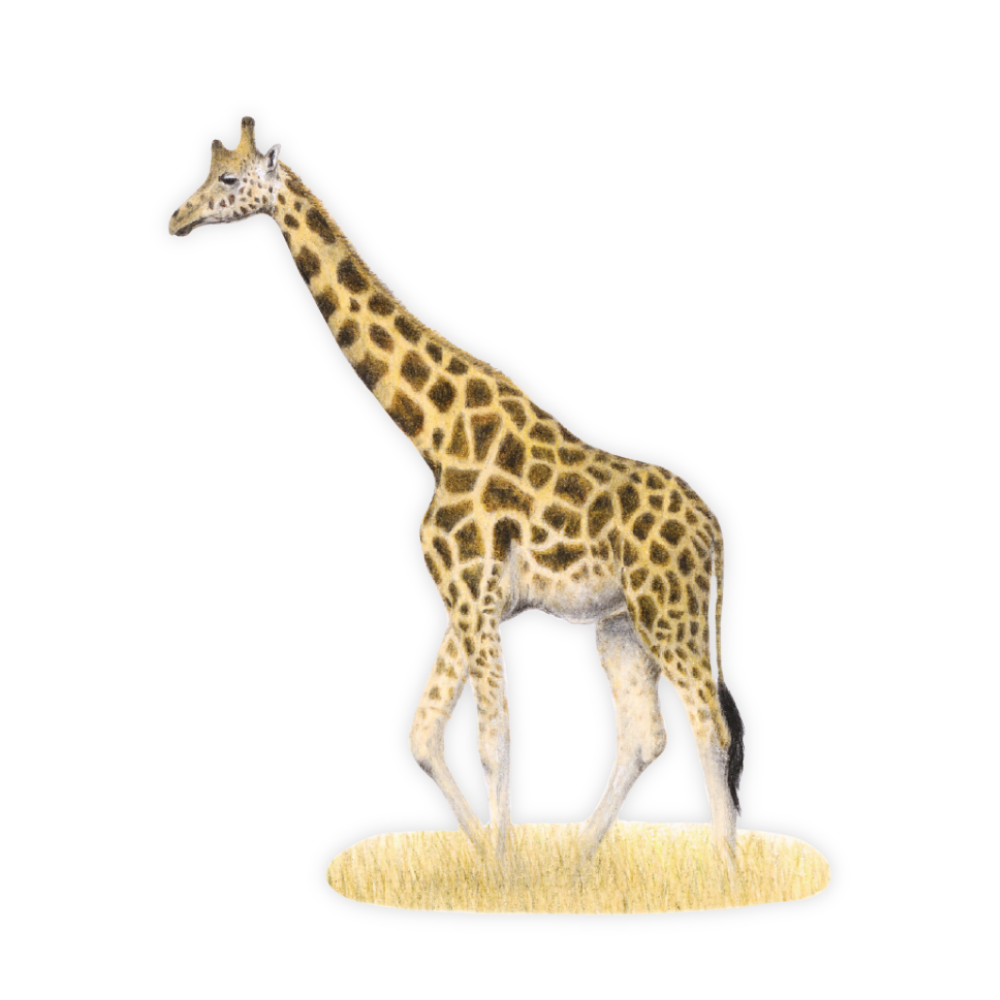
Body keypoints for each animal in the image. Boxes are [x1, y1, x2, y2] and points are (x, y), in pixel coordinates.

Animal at [168, 117, 745, 868]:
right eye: (207, 175)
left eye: (230, 180)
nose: (177, 220)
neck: (436, 436)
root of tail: (714, 528)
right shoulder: (462, 602)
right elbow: (424, 734)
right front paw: (489, 857)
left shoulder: (475, 599)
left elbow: (492, 741)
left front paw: (504, 871)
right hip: (619, 624)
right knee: (650, 733)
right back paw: (575, 863)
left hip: (667, 613)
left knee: (710, 723)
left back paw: (725, 870)